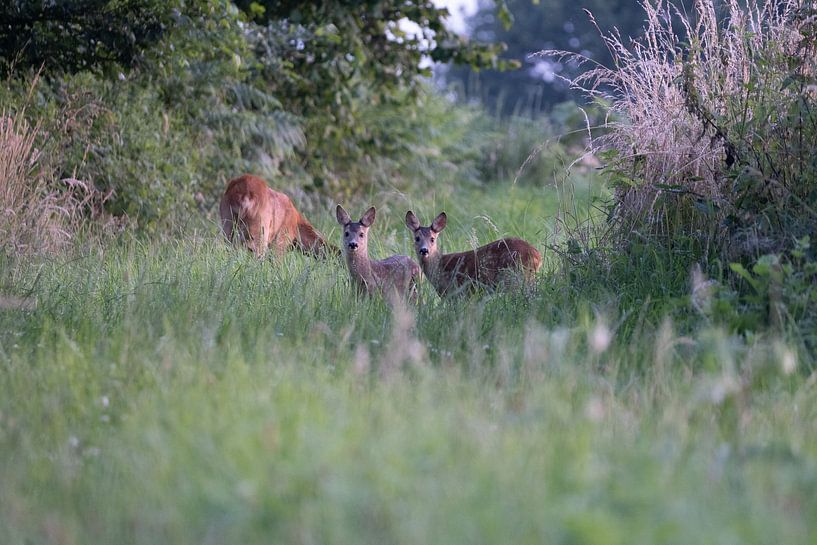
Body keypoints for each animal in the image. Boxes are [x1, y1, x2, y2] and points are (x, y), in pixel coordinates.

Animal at [405, 211, 542, 297]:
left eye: (432, 239)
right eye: (417, 238)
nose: (424, 250)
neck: (439, 266)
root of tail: (538, 256)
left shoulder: (456, 293)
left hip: (513, 277)